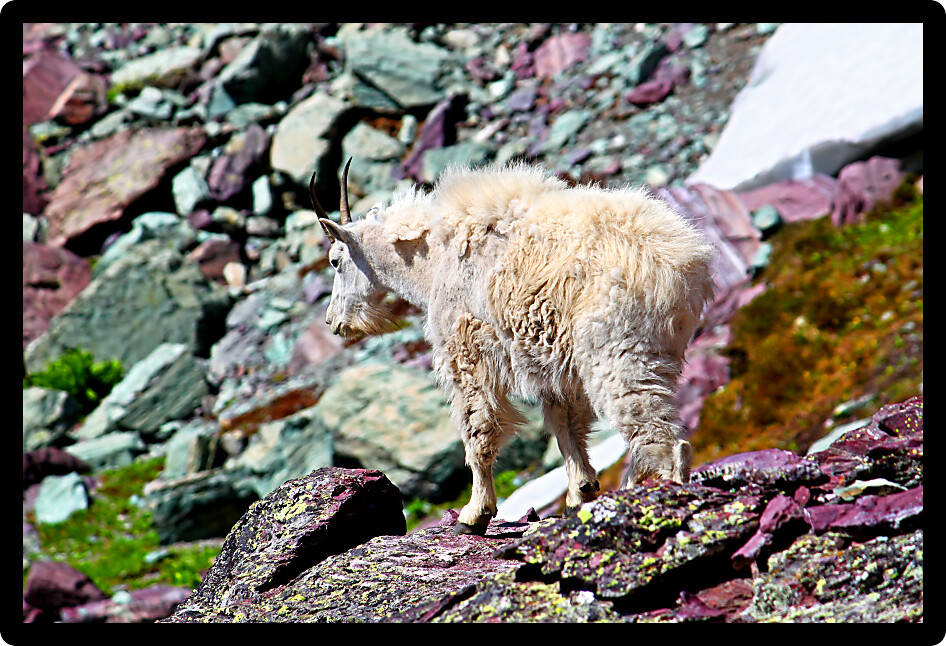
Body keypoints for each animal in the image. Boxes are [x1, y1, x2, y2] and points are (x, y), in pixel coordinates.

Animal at [311, 159, 716, 535]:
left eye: (335, 261)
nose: (332, 322)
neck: (433, 260)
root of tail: (684, 266)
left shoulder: (465, 348)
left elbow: (478, 428)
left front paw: (474, 514)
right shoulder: (550, 361)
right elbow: (565, 425)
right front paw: (579, 493)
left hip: (617, 350)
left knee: (661, 438)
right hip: (658, 352)